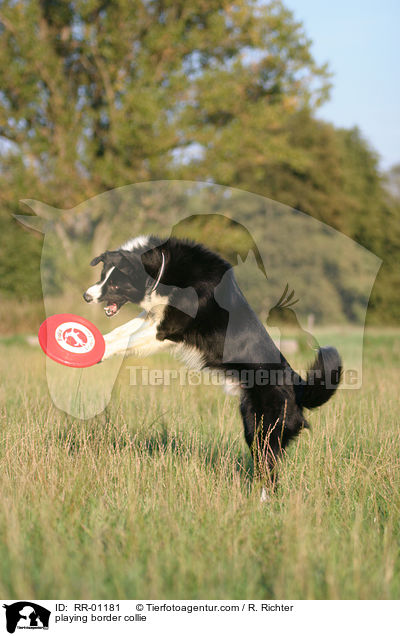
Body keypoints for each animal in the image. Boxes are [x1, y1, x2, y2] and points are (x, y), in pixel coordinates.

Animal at [83, 236, 340, 480]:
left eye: (115, 283)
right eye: (102, 276)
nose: (86, 296)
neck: (162, 270)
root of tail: (298, 388)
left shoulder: (166, 328)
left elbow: (127, 340)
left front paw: (98, 352)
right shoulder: (154, 316)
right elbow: (120, 332)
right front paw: (98, 343)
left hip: (263, 432)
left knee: (269, 474)